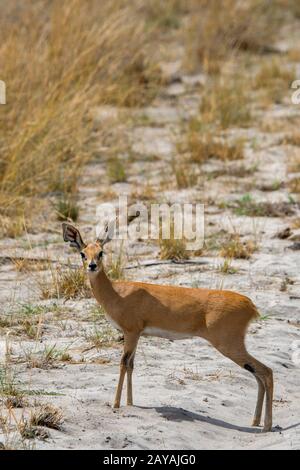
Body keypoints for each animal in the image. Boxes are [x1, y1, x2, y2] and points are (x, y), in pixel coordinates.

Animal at [62, 218, 274, 432]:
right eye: (83, 253)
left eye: (101, 252)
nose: (92, 266)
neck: (116, 293)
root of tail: (250, 305)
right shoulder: (136, 334)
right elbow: (131, 365)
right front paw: (130, 403)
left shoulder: (131, 332)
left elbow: (123, 363)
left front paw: (115, 404)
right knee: (259, 374)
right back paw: (256, 421)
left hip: (229, 345)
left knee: (266, 371)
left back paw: (267, 425)